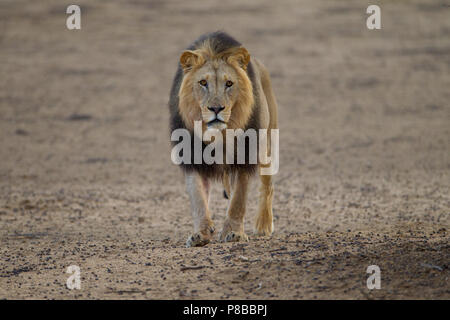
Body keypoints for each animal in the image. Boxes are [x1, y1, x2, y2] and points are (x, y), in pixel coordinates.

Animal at [169, 31, 278, 248]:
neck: (219, 135)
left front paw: (234, 233)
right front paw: (200, 234)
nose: (216, 108)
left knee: (267, 185)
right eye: (203, 83)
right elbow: (198, 198)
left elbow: (238, 200)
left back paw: (263, 225)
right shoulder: (191, 157)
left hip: (267, 144)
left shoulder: (245, 156)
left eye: (229, 84)